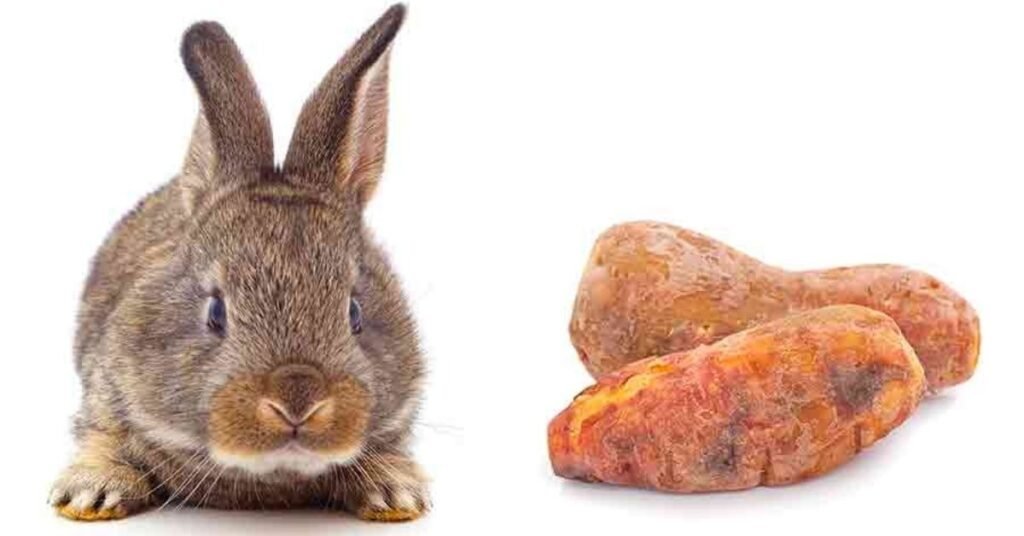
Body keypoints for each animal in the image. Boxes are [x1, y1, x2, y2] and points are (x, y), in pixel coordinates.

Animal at [47, 4, 430, 522]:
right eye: (215, 312)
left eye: (355, 312)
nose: (297, 401)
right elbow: (101, 440)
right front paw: (90, 493)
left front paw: (396, 493)